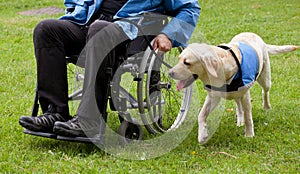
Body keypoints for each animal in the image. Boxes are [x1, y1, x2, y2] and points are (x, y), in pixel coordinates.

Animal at [169, 32, 298, 143]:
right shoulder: (213, 97)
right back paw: (240, 120)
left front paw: (249, 135)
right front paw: (202, 135)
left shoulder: (245, 95)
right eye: (179, 59)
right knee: (238, 106)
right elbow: (201, 115)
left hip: (265, 79)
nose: (170, 73)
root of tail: (254, 34)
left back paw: (266, 107)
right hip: (237, 94)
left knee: (264, 92)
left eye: (187, 62)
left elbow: (248, 117)